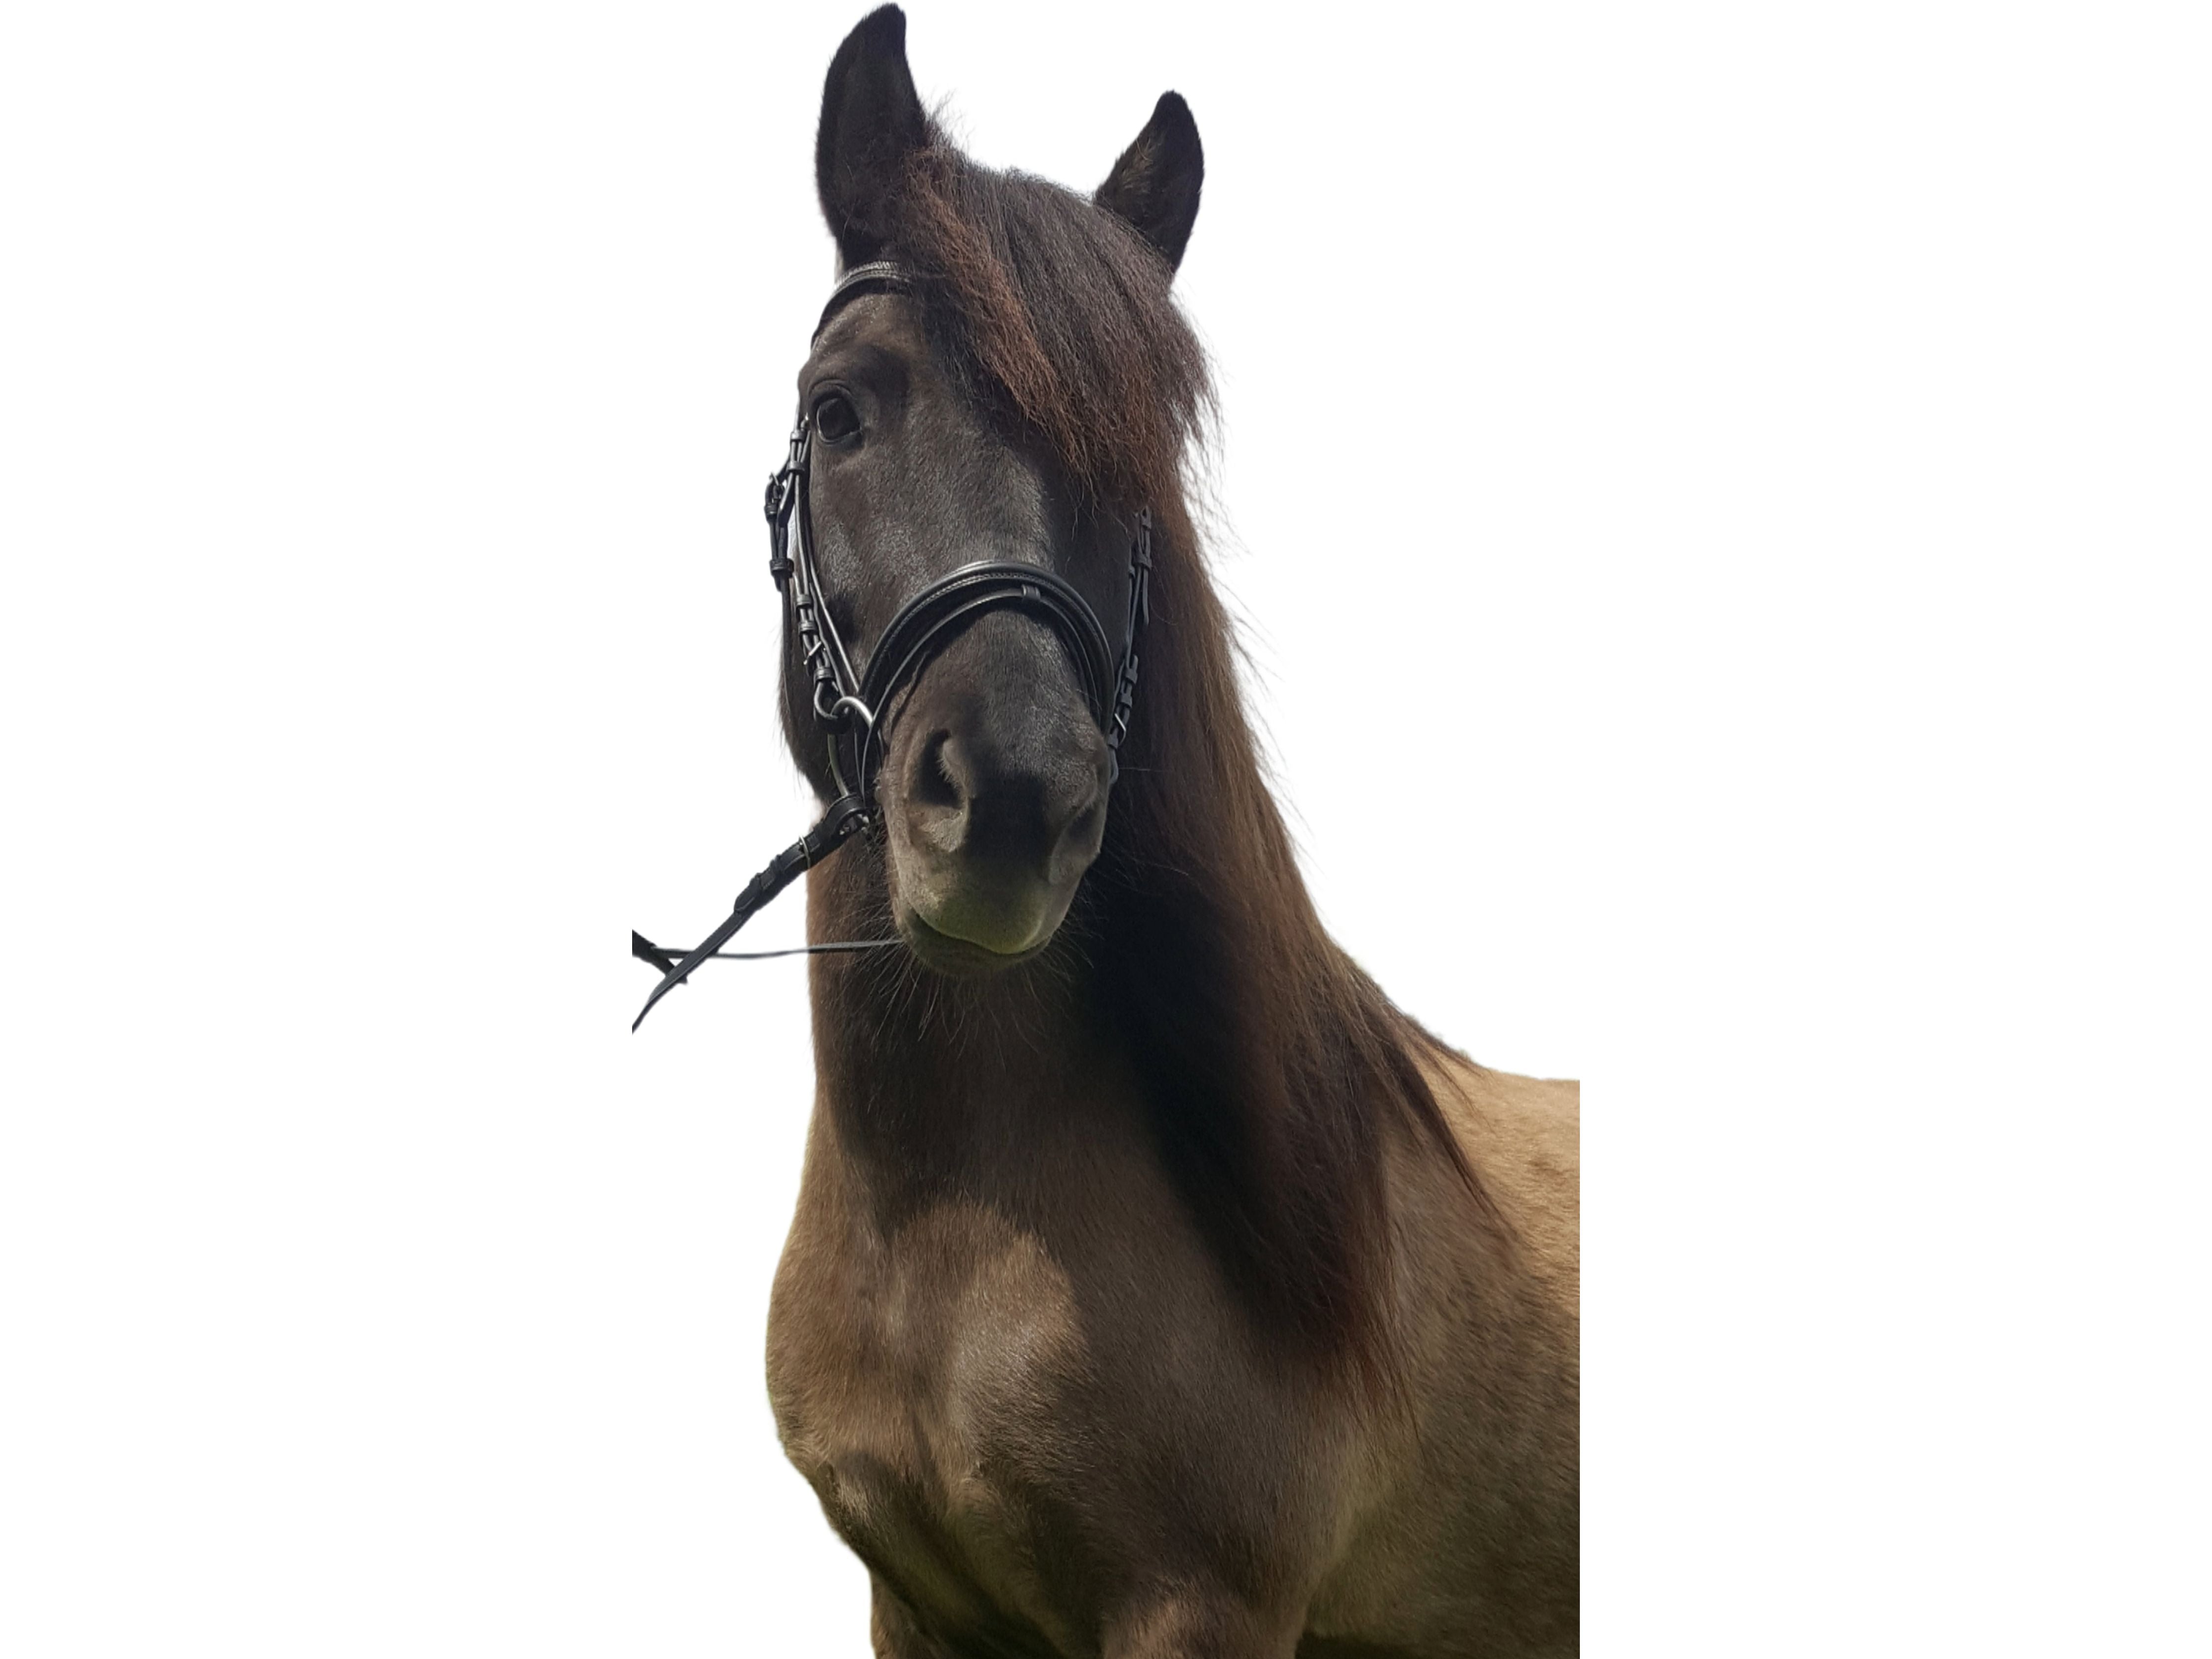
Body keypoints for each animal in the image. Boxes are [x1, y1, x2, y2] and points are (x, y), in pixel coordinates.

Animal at [742, 10, 1578, 1654]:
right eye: (837, 411)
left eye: (1134, 469)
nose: (1015, 805)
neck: (952, 1215)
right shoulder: (912, 1606)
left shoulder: (1194, 1607)